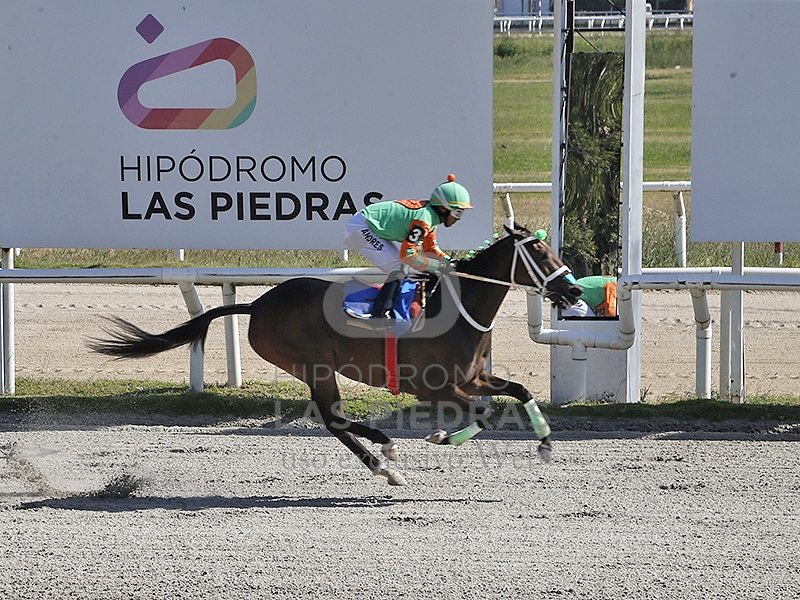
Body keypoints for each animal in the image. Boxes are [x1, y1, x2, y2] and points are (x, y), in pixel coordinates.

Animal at [89, 224, 582, 486]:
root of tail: (257, 304)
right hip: (315, 364)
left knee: (334, 419)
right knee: (333, 418)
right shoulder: (434, 386)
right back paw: (385, 459)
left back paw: (384, 461)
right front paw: (441, 438)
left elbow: (518, 390)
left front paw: (544, 443)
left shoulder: (472, 377)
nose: (575, 290)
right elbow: (484, 412)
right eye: (540, 252)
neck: (457, 310)